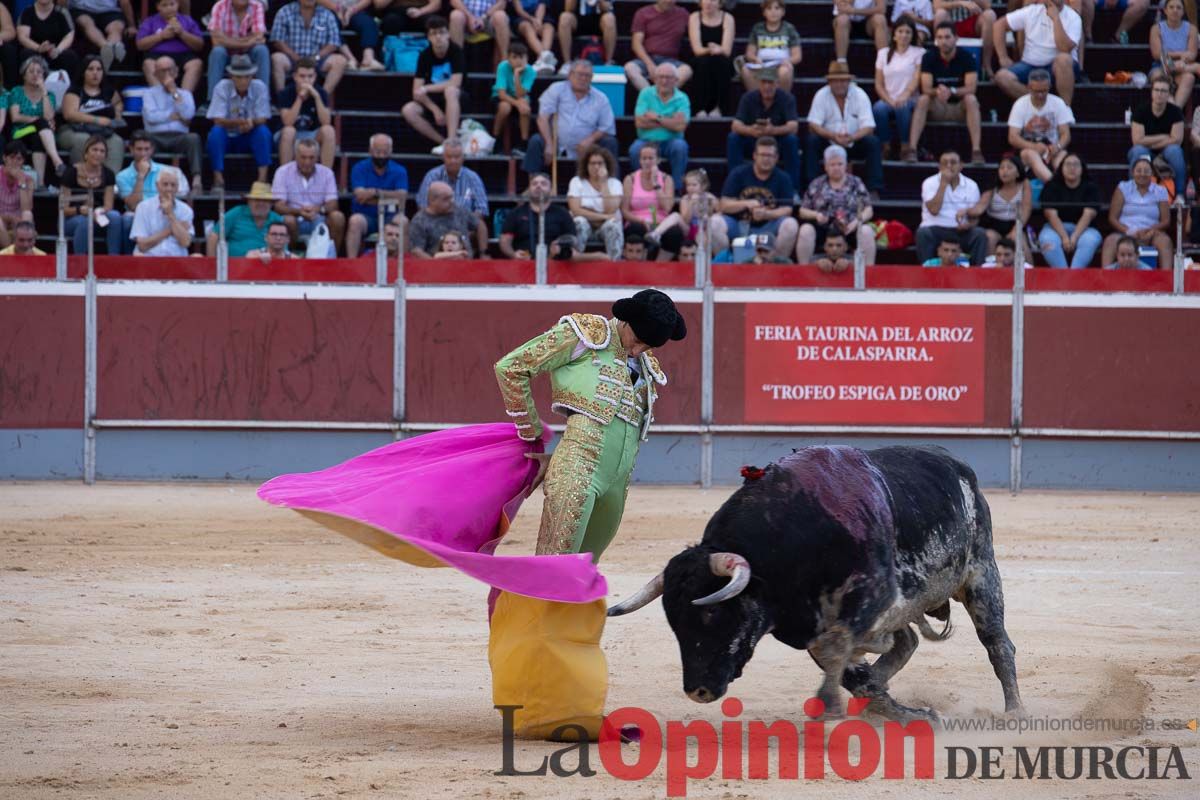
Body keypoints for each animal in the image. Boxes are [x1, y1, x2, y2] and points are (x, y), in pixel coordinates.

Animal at [609, 443, 1022, 719]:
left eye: (711, 615)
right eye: (674, 623)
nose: (698, 691)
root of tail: (956, 463)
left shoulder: (874, 593)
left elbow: (836, 647)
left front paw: (835, 703)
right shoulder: (805, 622)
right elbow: (845, 664)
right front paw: (898, 709)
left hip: (981, 575)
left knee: (997, 643)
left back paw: (1014, 712)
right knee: (908, 642)